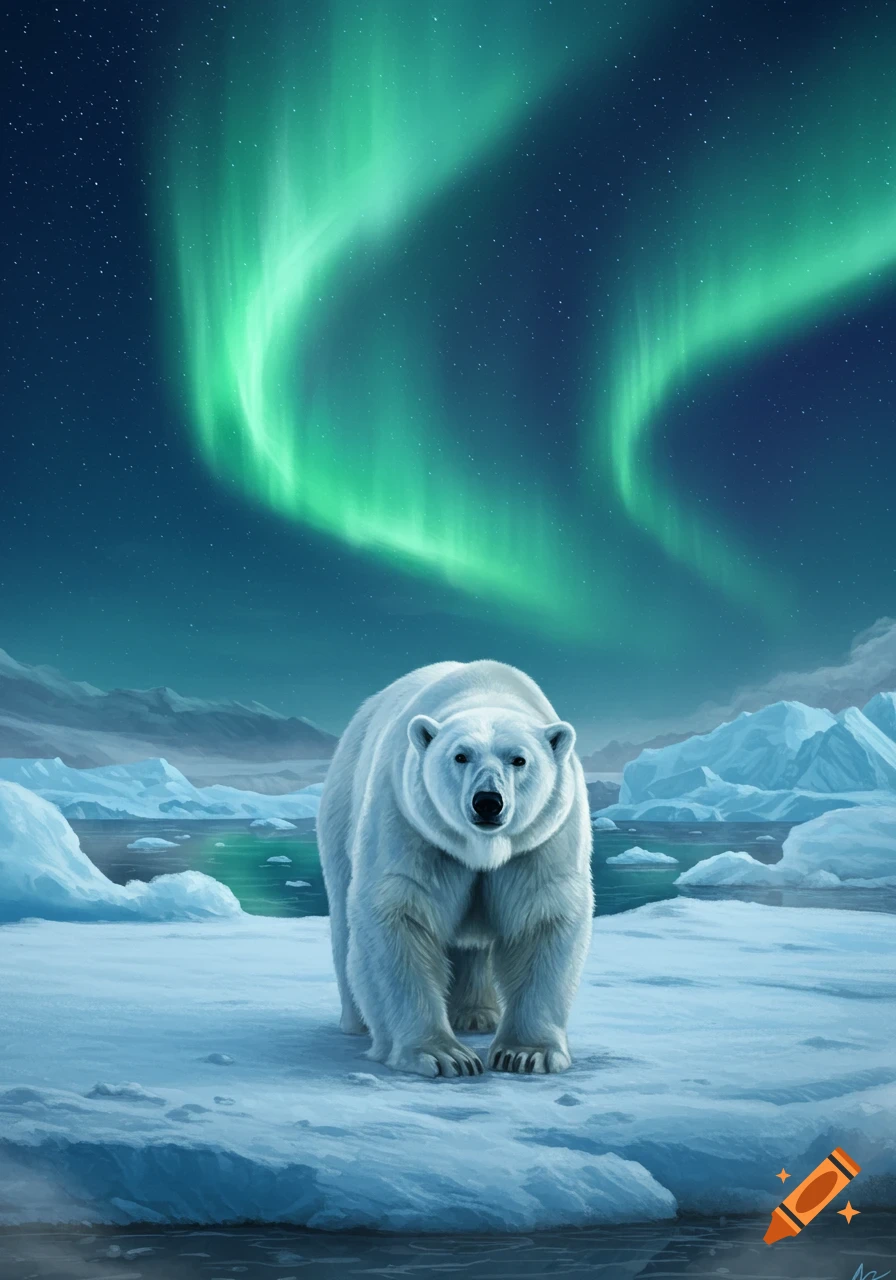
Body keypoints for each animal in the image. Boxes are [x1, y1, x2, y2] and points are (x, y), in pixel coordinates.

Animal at [316, 660, 594, 1078]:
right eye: (460, 756)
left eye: (519, 759)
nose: (488, 802)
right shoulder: (413, 826)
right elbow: (399, 916)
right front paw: (442, 1055)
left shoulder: (540, 841)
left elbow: (541, 918)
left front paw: (526, 1054)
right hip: (343, 806)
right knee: (345, 922)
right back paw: (358, 1022)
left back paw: (476, 1014)